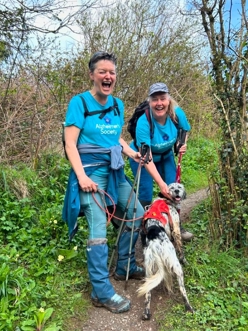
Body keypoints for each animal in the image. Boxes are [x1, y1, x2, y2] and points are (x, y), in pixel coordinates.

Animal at [138, 183, 194, 320]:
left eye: (179, 187)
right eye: (172, 188)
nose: (177, 191)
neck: (165, 200)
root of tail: (154, 244)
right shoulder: (176, 229)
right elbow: (181, 250)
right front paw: (185, 260)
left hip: (149, 270)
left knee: (147, 294)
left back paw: (146, 313)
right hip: (176, 266)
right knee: (183, 291)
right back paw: (189, 308)